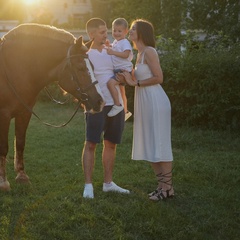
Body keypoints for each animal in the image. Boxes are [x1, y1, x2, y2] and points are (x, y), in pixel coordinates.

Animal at [0, 23, 104, 190]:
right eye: (81, 68)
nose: (99, 101)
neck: (14, 69)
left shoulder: (24, 113)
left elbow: (20, 143)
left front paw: (22, 176)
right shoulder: (4, 115)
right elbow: (4, 147)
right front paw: (3, 182)